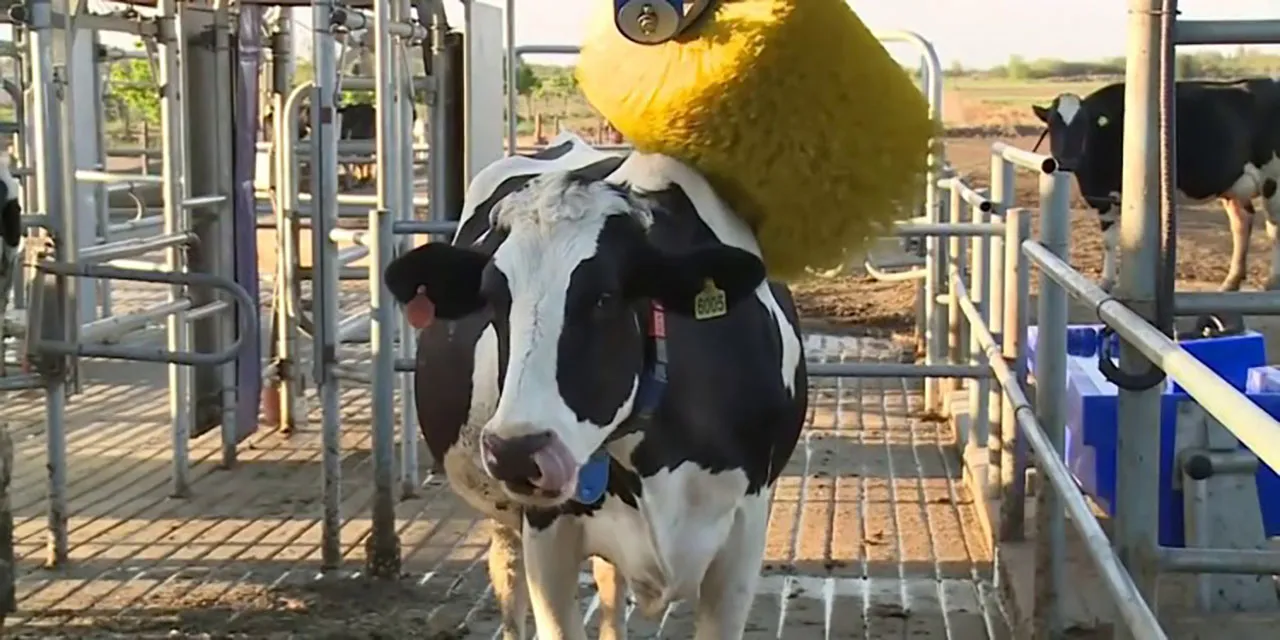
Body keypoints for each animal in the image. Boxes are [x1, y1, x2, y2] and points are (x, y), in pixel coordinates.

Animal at [383, 132, 807, 639]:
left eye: (605, 297)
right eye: (492, 299)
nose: (516, 451)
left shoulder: (744, 533)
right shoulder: (546, 535)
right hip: (505, 517)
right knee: (509, 579)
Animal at [1032, 79, 1280, 292]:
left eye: (1083, 124)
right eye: (1052, 125)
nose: (1067, 161)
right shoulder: (1103, 198)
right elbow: (1109, 241)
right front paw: (1106, 282)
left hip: (1272, 180)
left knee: (1273, 227)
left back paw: (1272, 282)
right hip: (1233, 186)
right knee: (1242, 223)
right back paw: (1231, 281)